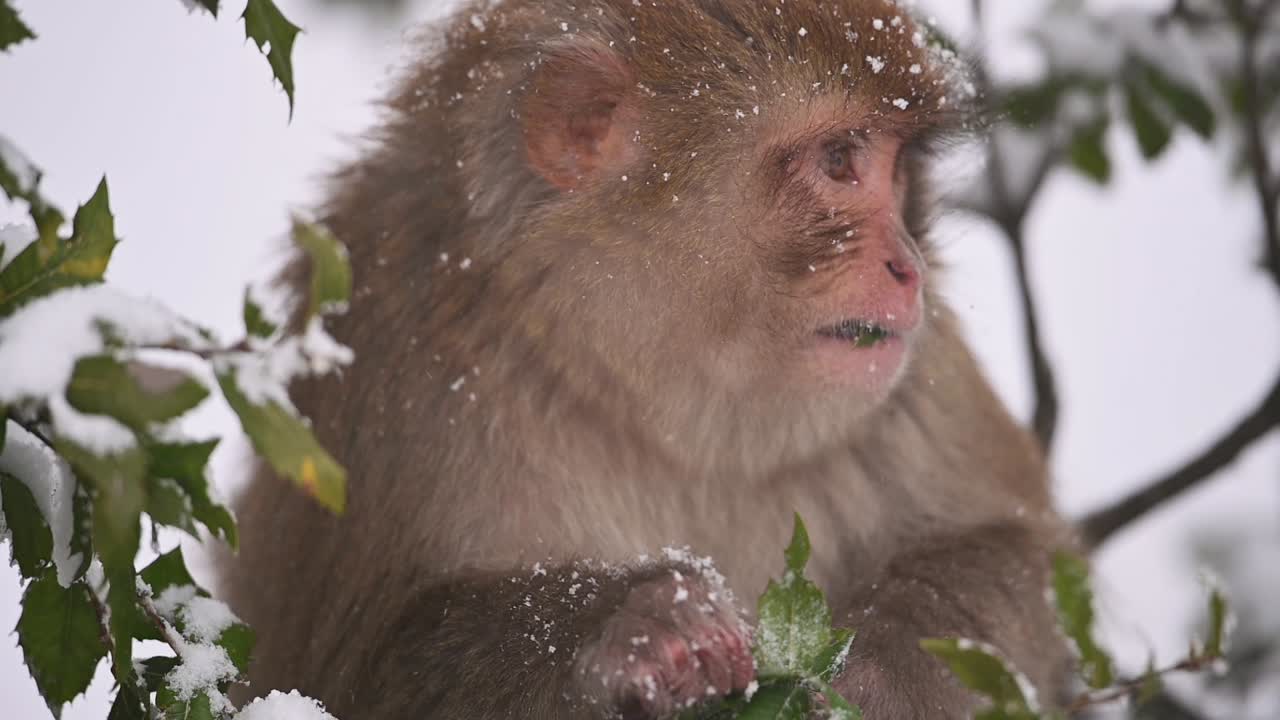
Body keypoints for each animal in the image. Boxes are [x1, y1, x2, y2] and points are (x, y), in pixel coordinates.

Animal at [222, 1, 1075, 718]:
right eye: (839, 161)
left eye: (897, 169)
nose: (910, 267)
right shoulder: (396, 370)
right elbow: (359, 662)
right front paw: (631, 623)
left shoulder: (918, 377)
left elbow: (1011, 548)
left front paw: (887, 664)